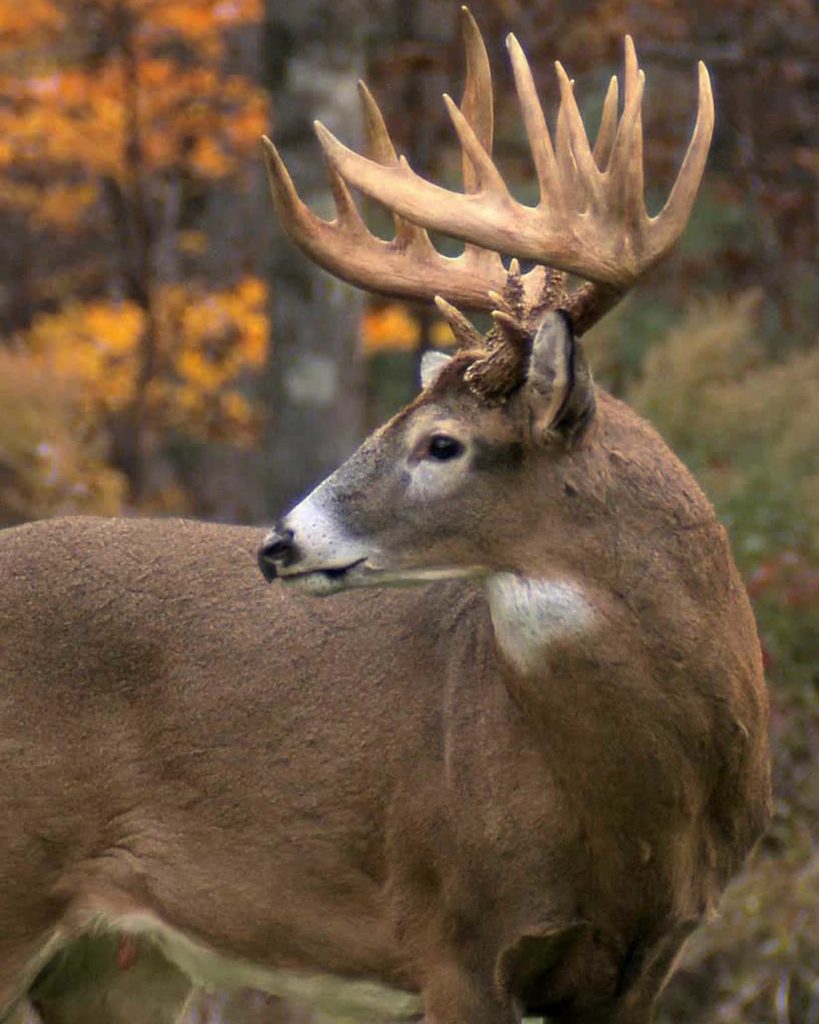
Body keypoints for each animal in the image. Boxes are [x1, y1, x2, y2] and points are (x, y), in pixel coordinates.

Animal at [0, 10, 770, 1024]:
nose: (280, 542)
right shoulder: (453, 932)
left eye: (441, 442)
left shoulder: (650, 957)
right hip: (15, 881)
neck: (641, 819)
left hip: (119, 965)